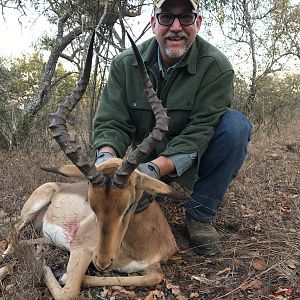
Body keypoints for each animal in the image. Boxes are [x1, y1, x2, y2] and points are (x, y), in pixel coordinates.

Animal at [2, 32, 188, 300]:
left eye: (129, 205)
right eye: (91, 205)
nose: (102, 262)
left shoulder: (152, 267)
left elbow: (154, 277)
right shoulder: (81, 249)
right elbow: (70, 290)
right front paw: (52, 269)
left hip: (43, 235)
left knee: (29, 242)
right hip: (29, 212)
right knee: (10, 237)